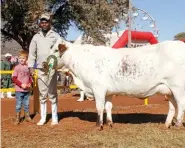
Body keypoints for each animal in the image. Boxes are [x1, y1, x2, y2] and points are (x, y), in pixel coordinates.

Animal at [47, 38, 185, 130]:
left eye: (56, 49)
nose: (44, 63)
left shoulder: (98, 89)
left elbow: (99, 107)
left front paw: (99, 125)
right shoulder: (108, 92)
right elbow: (108, 107)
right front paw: (109, 123)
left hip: (178, 88)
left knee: (181, 105)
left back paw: (178, 125)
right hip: (169, 91)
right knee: (173, 106)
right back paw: (167, 124)